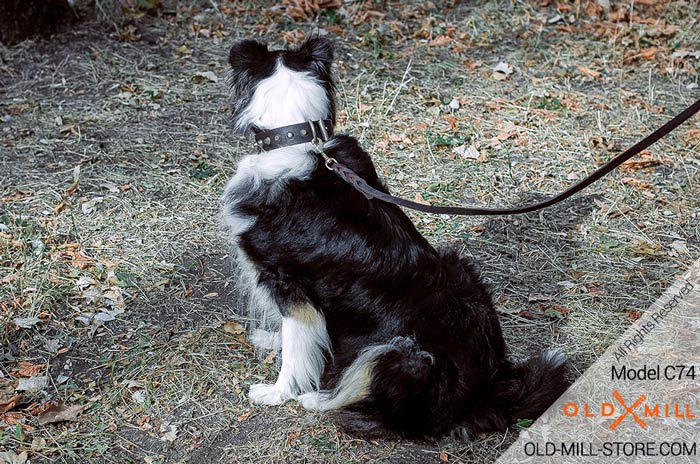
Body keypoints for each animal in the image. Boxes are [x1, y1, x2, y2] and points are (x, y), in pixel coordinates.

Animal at [221, 37, 572, 438]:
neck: (296, 139)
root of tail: (482, 393)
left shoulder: (289, 284)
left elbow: (296, 348)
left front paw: (278, 392)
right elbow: (300, 336)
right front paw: (273, 339)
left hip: (400, 354)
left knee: (397, 418)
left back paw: (319, 400)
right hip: (460, 269)